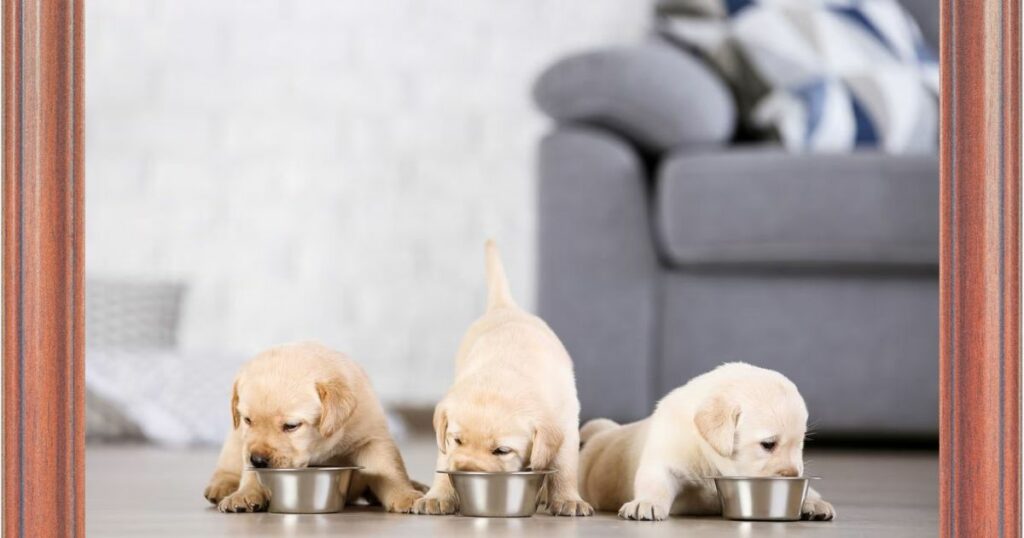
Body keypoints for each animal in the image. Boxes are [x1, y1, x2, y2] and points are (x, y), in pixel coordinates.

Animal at [203, 342, 423, 514]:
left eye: (291, 426)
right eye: (248, 420)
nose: (257, 460)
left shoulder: (372, 438)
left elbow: (389, 469)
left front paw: (406, 494)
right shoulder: (246, 443)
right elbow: (251, 475)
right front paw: (245, 494)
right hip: (234, 439)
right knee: (228, 466)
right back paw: (222, 486)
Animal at [413, 239, 598, 516]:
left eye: (501, 451)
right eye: (457, 440)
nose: (466, 470)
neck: (504, 376)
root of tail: (506, 306)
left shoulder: (566, 424)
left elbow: (564, 467)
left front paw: (567, 499)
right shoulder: (446, 441)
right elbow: (444, 459)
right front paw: (438, 495)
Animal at [581, 360, 835, 520]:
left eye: (800, 444)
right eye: (768, 444)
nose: (793, 475)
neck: (711, 459)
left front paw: (811, 500)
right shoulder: (665, 456)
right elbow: (656, 482)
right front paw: (648, 502)